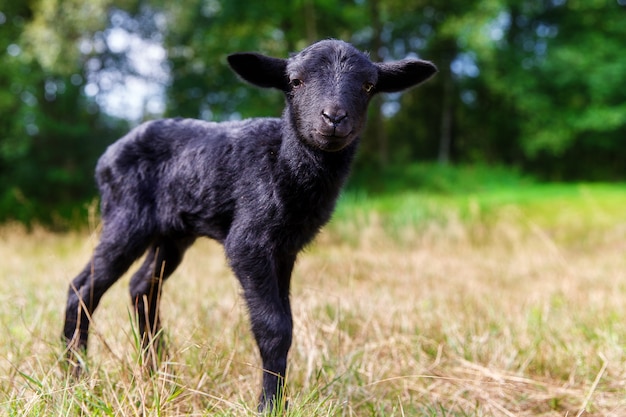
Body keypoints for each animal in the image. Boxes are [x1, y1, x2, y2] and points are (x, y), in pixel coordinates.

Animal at [62, 39, 434, 410]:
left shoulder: (286, 247)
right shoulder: (249, 241)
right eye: (295, 81)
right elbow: (274, 327)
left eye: (369, 86)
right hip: (126, 217)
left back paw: (158, 374)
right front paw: (270, 405)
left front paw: (280, 400)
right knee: (83, 287)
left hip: (173, 232)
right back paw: (75, 377)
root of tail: (106, 158)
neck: (281, 164)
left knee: (142, 286)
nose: (334, 118)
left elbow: (289, 320)